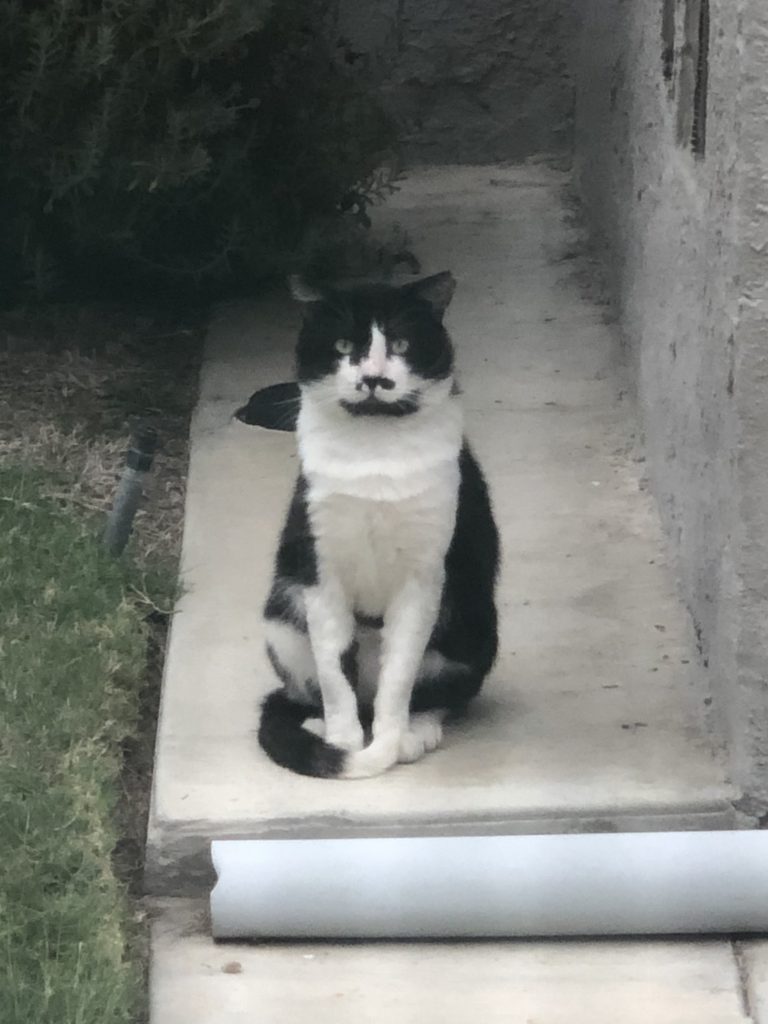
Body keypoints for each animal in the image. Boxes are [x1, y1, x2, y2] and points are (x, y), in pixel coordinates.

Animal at [258, 271, 500, 778]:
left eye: (403, 343)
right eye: (343, 344)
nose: (373, 378)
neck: (375, 448)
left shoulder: (422, 577)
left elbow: (400, 674)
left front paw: (390, 740)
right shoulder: (320, 569)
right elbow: (334, 673)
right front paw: (344, 743)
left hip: (474, 627)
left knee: (436, 694)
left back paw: (416, 731)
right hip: (280, 617)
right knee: (310, 690)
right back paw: (317, 726)